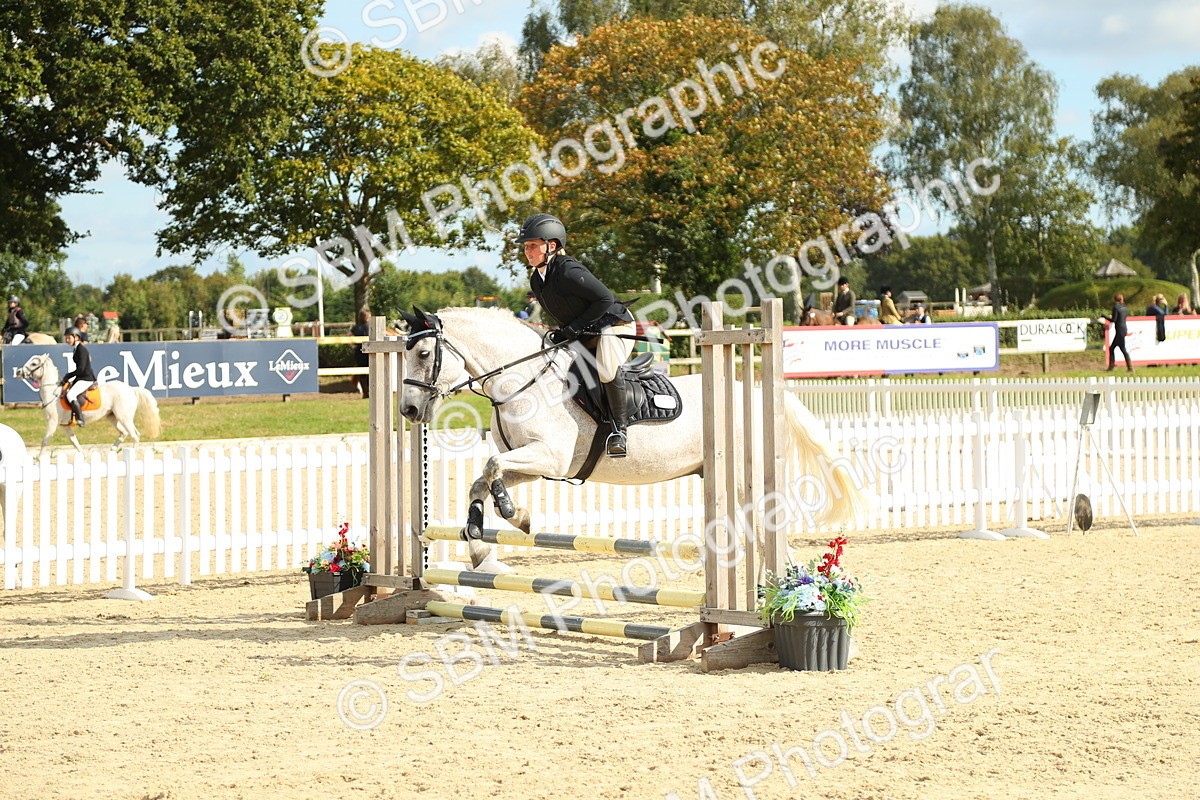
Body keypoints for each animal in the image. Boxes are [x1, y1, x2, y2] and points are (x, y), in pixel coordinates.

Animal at [14, 353, 162, 457]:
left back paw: (132, 455)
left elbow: (45, 441)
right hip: (112, 416)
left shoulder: (52, 422)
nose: (18, 372)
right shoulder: (64, 426)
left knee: (135, 435)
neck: (53, 392)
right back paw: (113, 449)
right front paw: (84, 456)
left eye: (34, 363)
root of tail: (131, 389)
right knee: (124, 432)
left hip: (124, 417)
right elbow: (74, 442)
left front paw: (38, 461)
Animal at [397, 307, 867, 570]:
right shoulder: (533, 465)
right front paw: (485, 541)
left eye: (423, 353)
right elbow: (482, 478)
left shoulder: (547, 457)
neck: (521, 381)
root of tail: (756, 394)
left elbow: (491, 468)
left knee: (769, 535)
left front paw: (516, 515)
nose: (408, 411)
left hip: (743, 481)